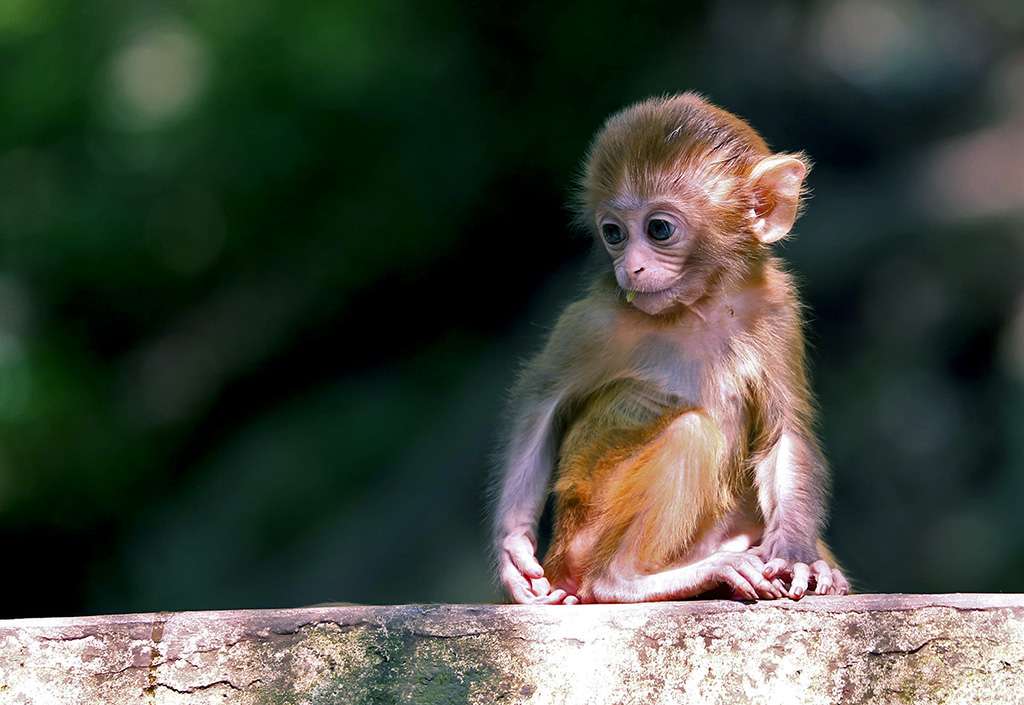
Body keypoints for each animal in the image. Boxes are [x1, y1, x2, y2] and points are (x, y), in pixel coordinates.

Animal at [491, 90, 843, 602]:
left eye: (658, 230)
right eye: (613, 233)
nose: (631, 267)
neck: (700, 306)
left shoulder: (777, 309)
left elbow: (784, 433)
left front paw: (798, 557)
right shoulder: (600, 320)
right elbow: (540, 399)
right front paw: (513, 546)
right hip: (582, 532)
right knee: (689, 433)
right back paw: (630, 579)